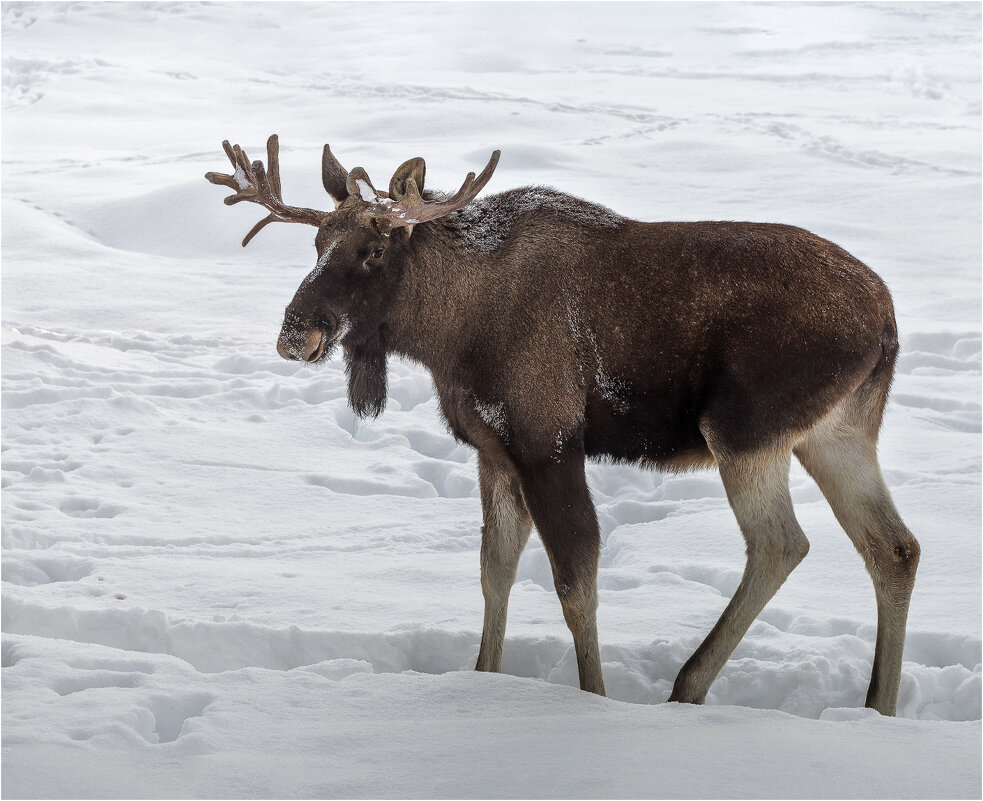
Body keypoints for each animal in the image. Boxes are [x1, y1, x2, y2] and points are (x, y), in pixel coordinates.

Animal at [208, 134, 924, 716]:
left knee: (782, 543)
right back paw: (877, 708)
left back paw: (689, 686)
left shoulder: (547, 440)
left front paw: (594, 698)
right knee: (894, 548)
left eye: (376, 248)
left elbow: (575, 581)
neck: (447, 334)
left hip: (745, 428)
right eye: (318, 243)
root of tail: (889, 322)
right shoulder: (494, 451)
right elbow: (494, 570)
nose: (294, 334)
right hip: (836, 433)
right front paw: (481, 677)